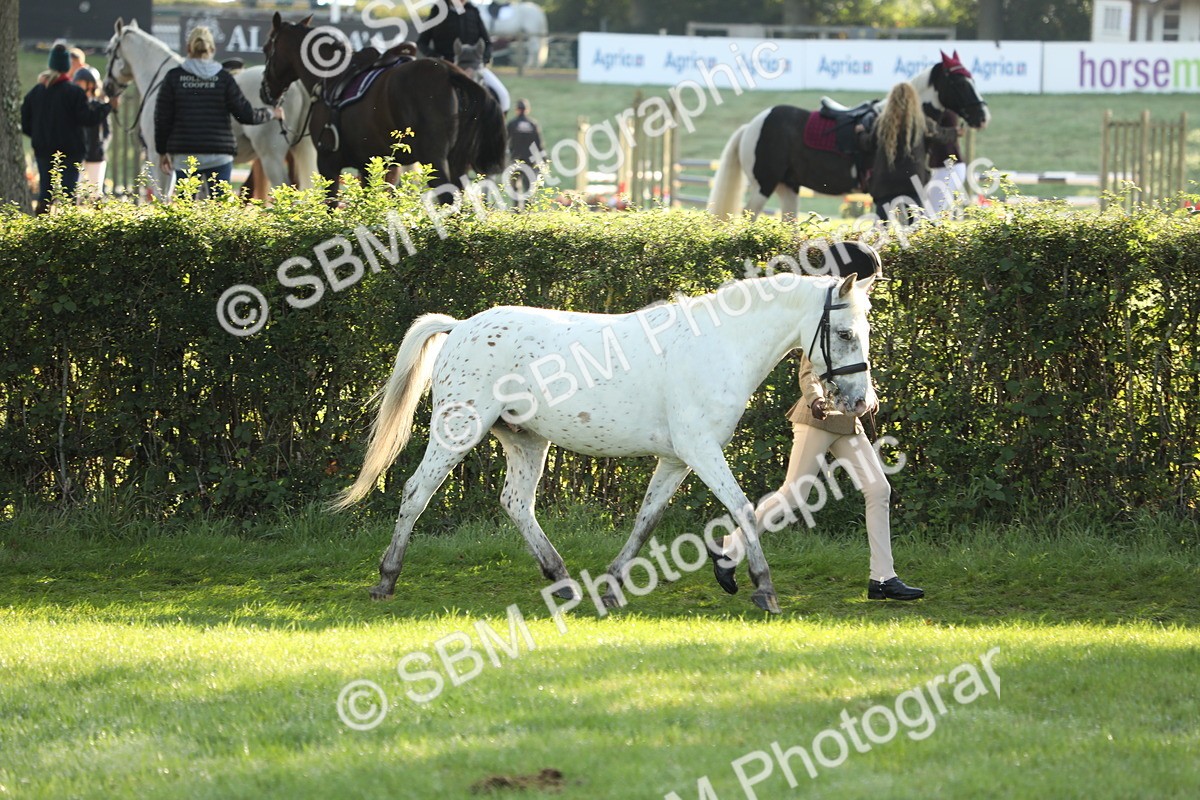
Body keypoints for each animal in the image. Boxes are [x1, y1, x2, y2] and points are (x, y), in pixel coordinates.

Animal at [261, 13, 507, 202]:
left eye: (265, 49)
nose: (265, 90)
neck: (331, 77)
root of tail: (448, 72)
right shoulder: (376, 164)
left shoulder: (328, 162)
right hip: (457, 163)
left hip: (435, 159)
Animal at [331, 271, 878, 616]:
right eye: (845, 334)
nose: (861, 402)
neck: (717, 344)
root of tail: (461, 326)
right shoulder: (700, 450)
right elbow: (742, 508)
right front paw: (764, 589)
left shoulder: (676, 460)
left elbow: (646, 520)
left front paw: (613, 586)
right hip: (458, 430)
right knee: (416, 492)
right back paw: (386, 579)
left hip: (527, 441)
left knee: (516, 503)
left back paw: (562, 579)